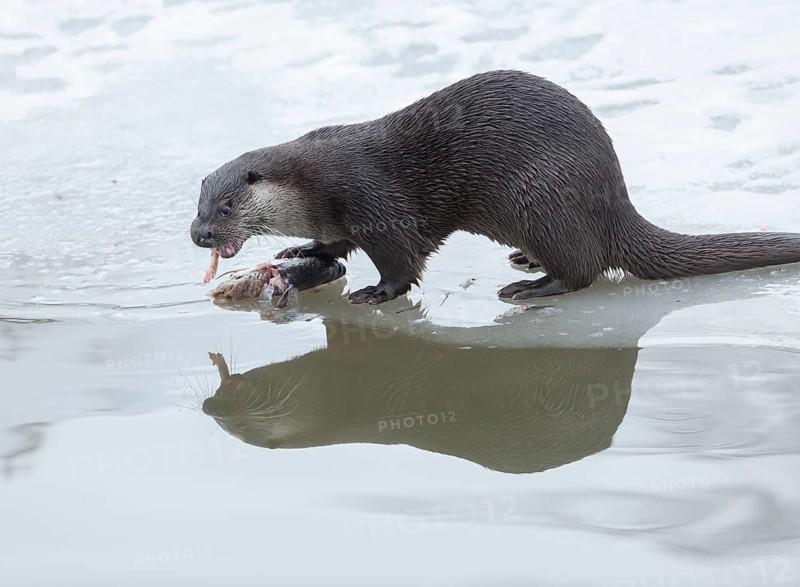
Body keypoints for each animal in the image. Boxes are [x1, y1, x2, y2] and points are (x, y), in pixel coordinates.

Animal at [190, 70, 800, 304]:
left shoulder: (376, 205)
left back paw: (530, 288)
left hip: (542, 200)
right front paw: (300, 250)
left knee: (583, 270)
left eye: (227, 206)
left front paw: (376, 293)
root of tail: (615, 198)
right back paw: (523, 264)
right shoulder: (339, 218)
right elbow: (332, 244)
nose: (199, 234)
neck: (314, 186)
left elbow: (403, 262)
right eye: (197, 203)